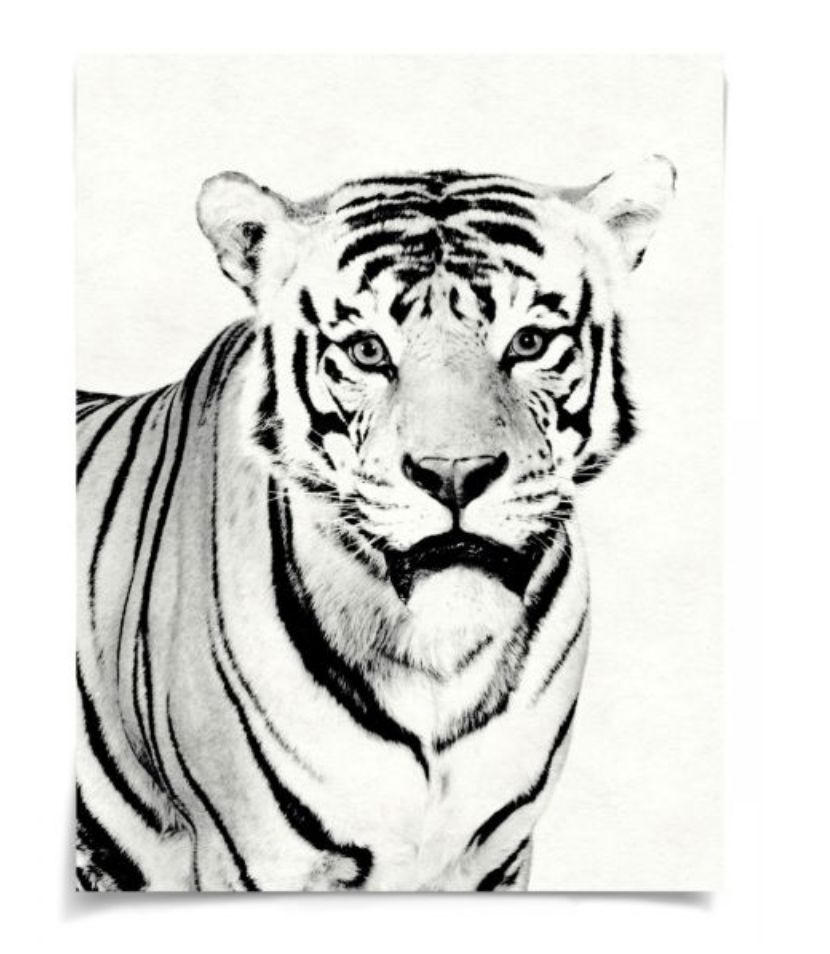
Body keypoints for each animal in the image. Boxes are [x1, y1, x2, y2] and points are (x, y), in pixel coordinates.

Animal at [76, 157, 675, 892]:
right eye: (366, 351)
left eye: (529, 342)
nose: (454, 474)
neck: (439, 662)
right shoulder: (254, 858)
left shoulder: (496, 858)